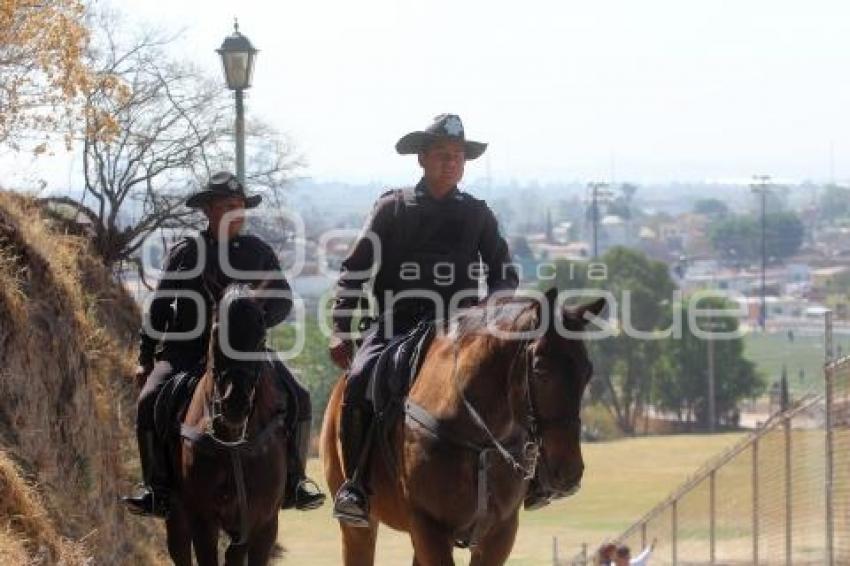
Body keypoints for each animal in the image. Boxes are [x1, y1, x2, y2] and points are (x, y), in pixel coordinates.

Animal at [164, 286, 290, 564]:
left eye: (261, 336)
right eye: (215, 332)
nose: (235, 403)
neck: (233, 444)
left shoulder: (263, 524)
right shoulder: (203, 521)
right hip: (178, 515)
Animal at [320, 290, 604, 564]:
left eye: (588, 371)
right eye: (539, 369)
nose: (569, 474)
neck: (478, 436)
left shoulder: (500, 532)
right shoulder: (429, 527)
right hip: (360, 528)